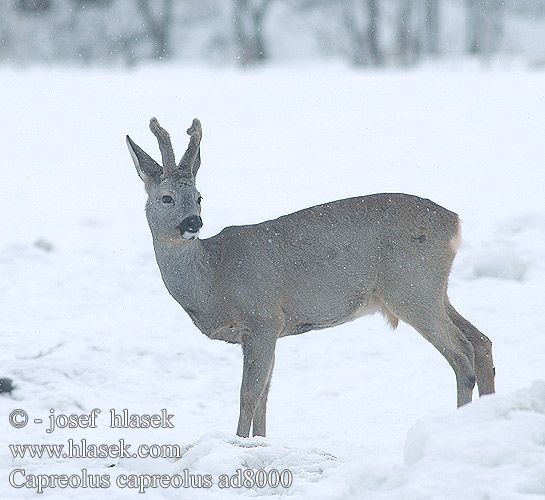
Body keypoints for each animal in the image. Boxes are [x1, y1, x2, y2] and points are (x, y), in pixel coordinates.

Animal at [126, 117, 492, 438]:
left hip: (412, 287)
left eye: (200, 197)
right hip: (433, 289)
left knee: (461, 353)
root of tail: (454, 222)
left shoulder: (262, 318)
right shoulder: (268, 330)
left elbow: (249, 396)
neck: (213, 279)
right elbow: (264, 396)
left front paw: (239, 443)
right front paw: (260, 442)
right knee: (481, 341)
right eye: (166, 197)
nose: (193, 222)